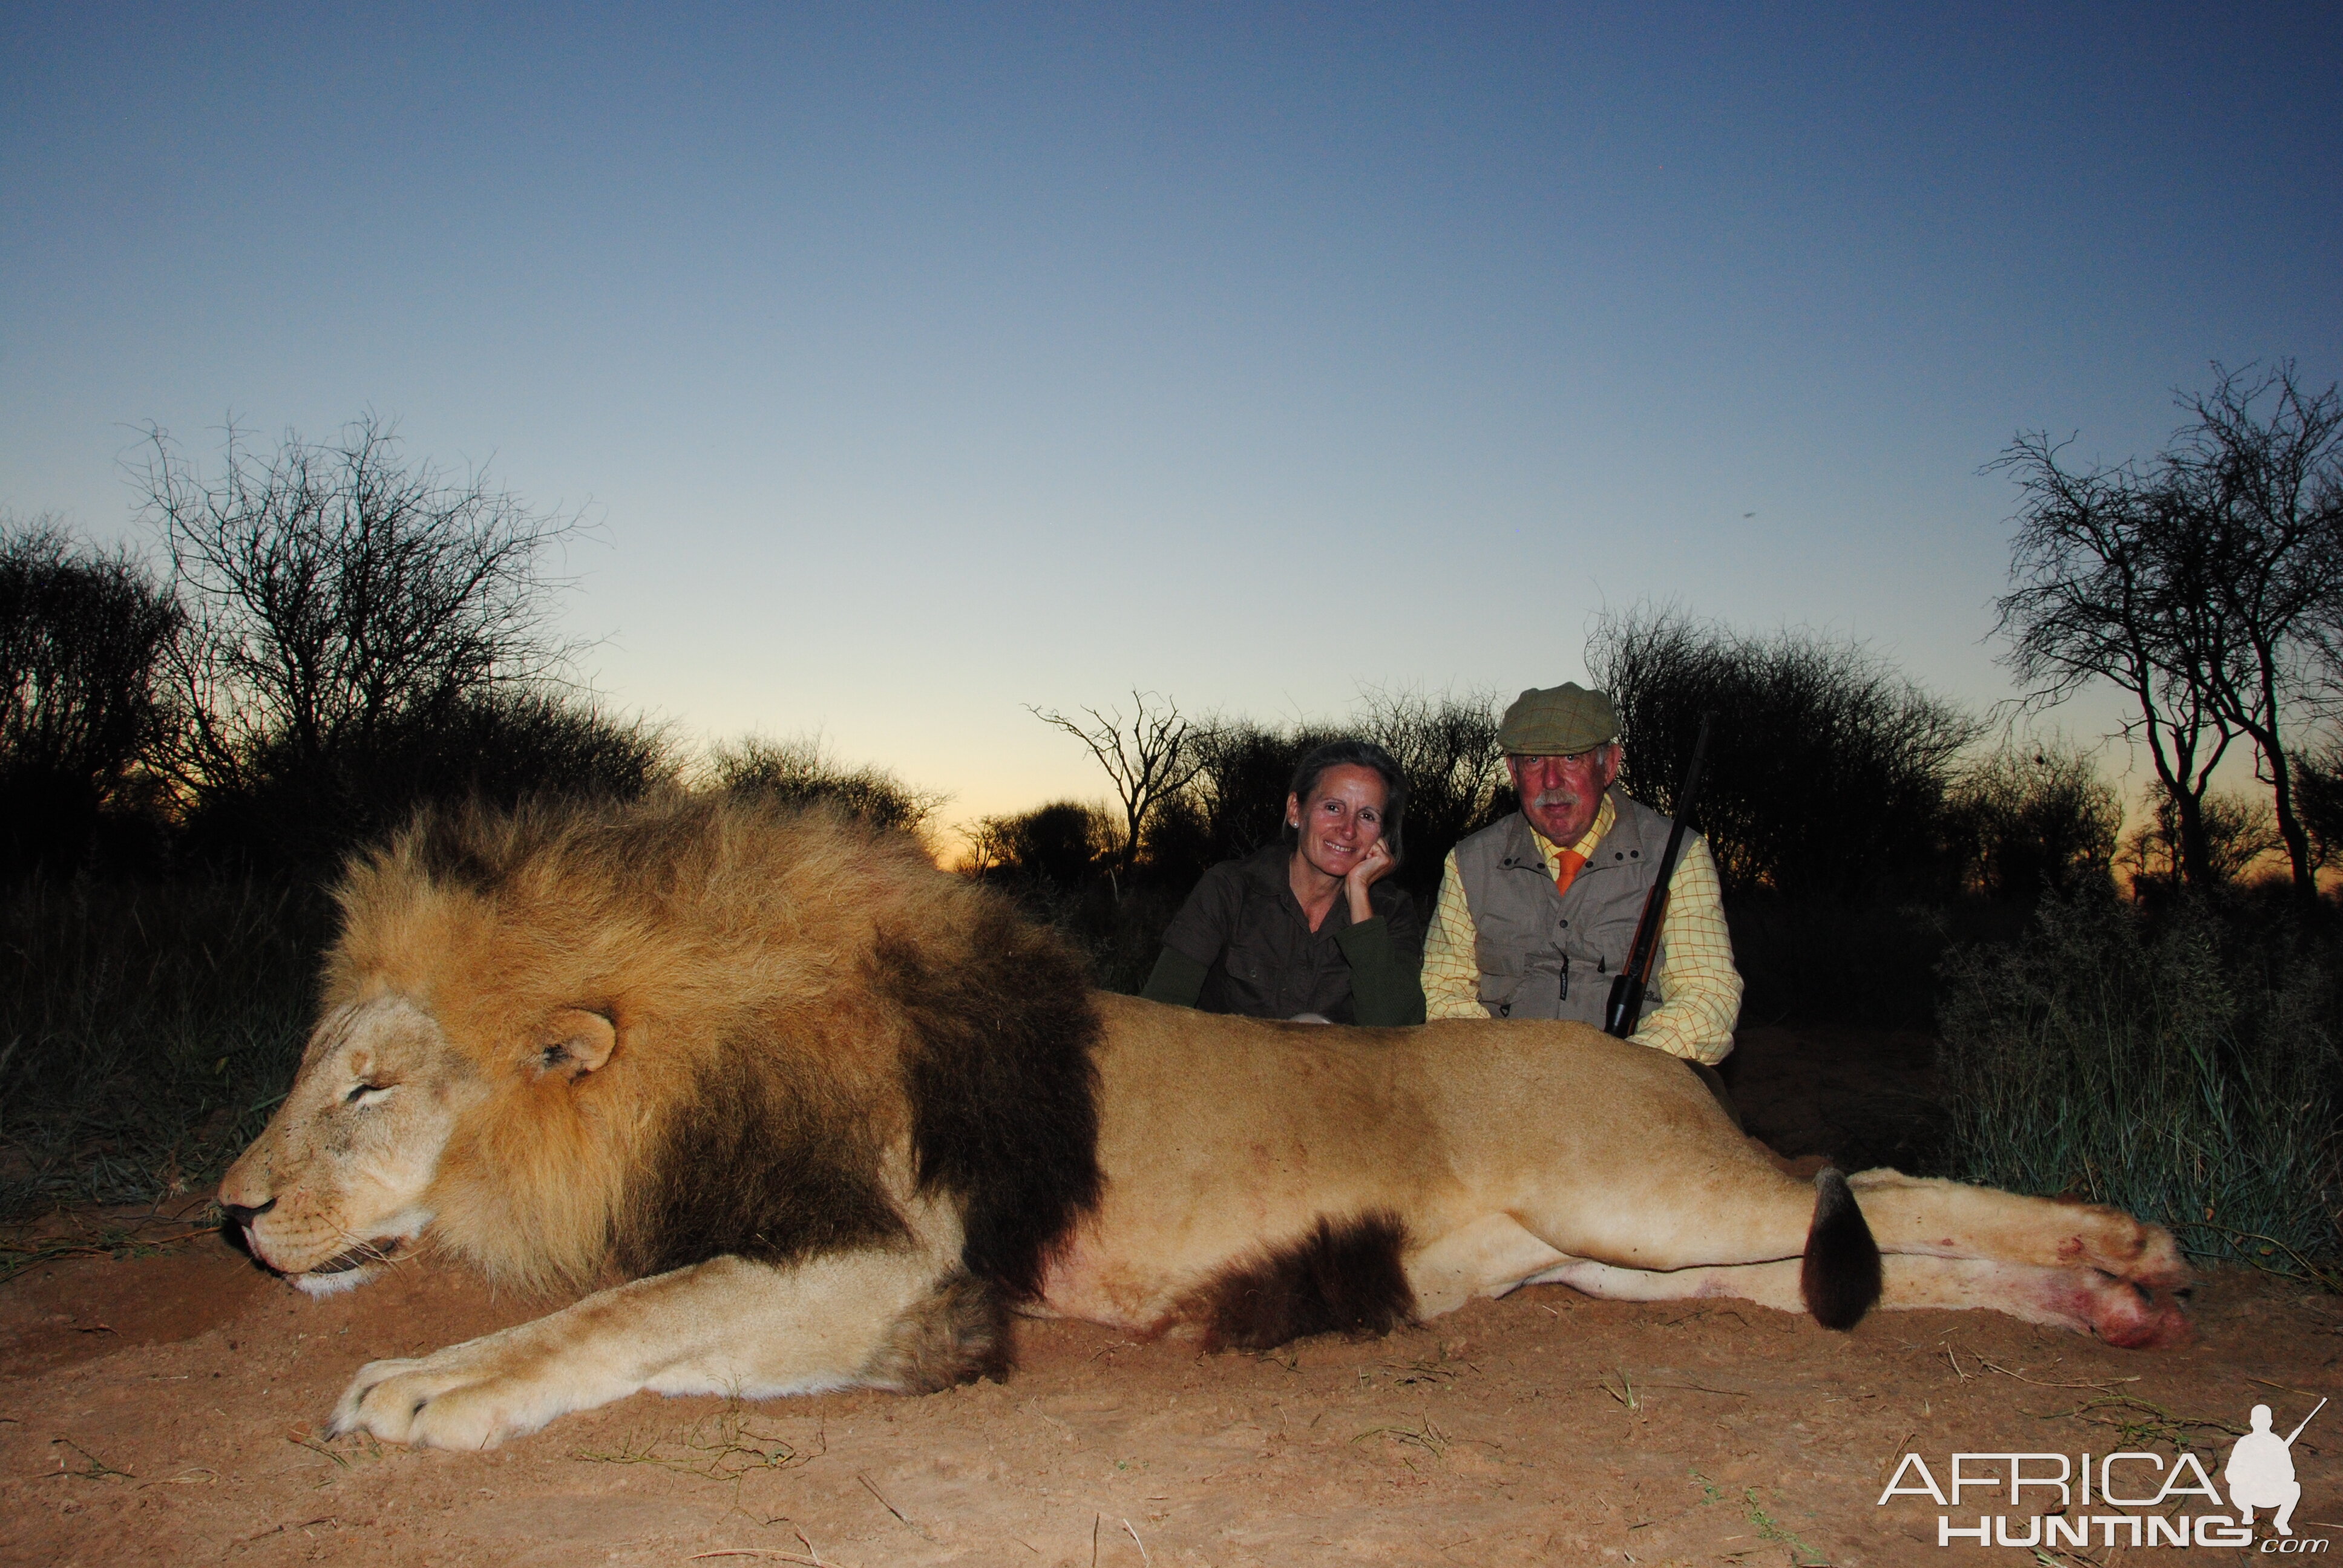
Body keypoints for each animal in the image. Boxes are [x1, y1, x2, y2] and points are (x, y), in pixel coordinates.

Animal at [220, 797, 2193, 1443]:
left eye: (368, 1087)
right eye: (314, 1068)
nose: (229, 1215)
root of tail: (1633, 1051)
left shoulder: (898, 1265)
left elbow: (619, 1312)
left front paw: (415, 1390)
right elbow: (644, 1318)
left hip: (1642, 1190)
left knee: (1879, 1176)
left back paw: (2139, 1248)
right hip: (1630, 1262)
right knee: (1872, 1239)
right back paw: (2100, 1308)